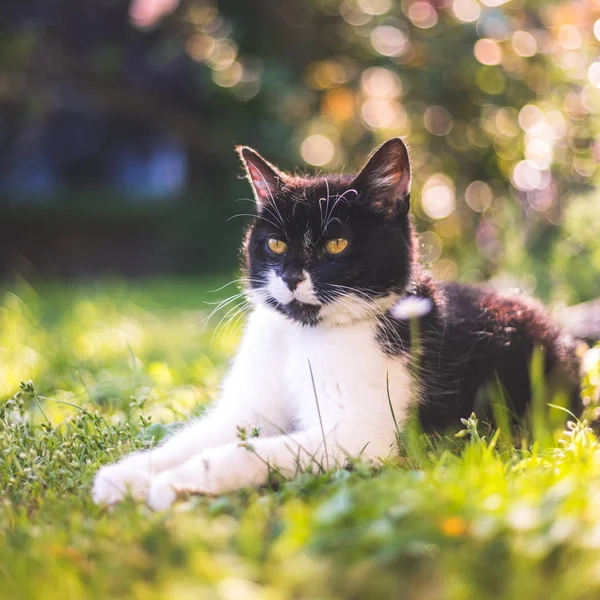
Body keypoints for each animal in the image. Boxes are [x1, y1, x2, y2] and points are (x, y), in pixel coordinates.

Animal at [95, 138, 592, 508]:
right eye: (275, 244)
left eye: (336, 244)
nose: (292, 277)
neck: (304, 336)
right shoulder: (248, 409)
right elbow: (199, 437)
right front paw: (128, 474)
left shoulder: (360, 436)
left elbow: (250, 450)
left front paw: (179, 482)